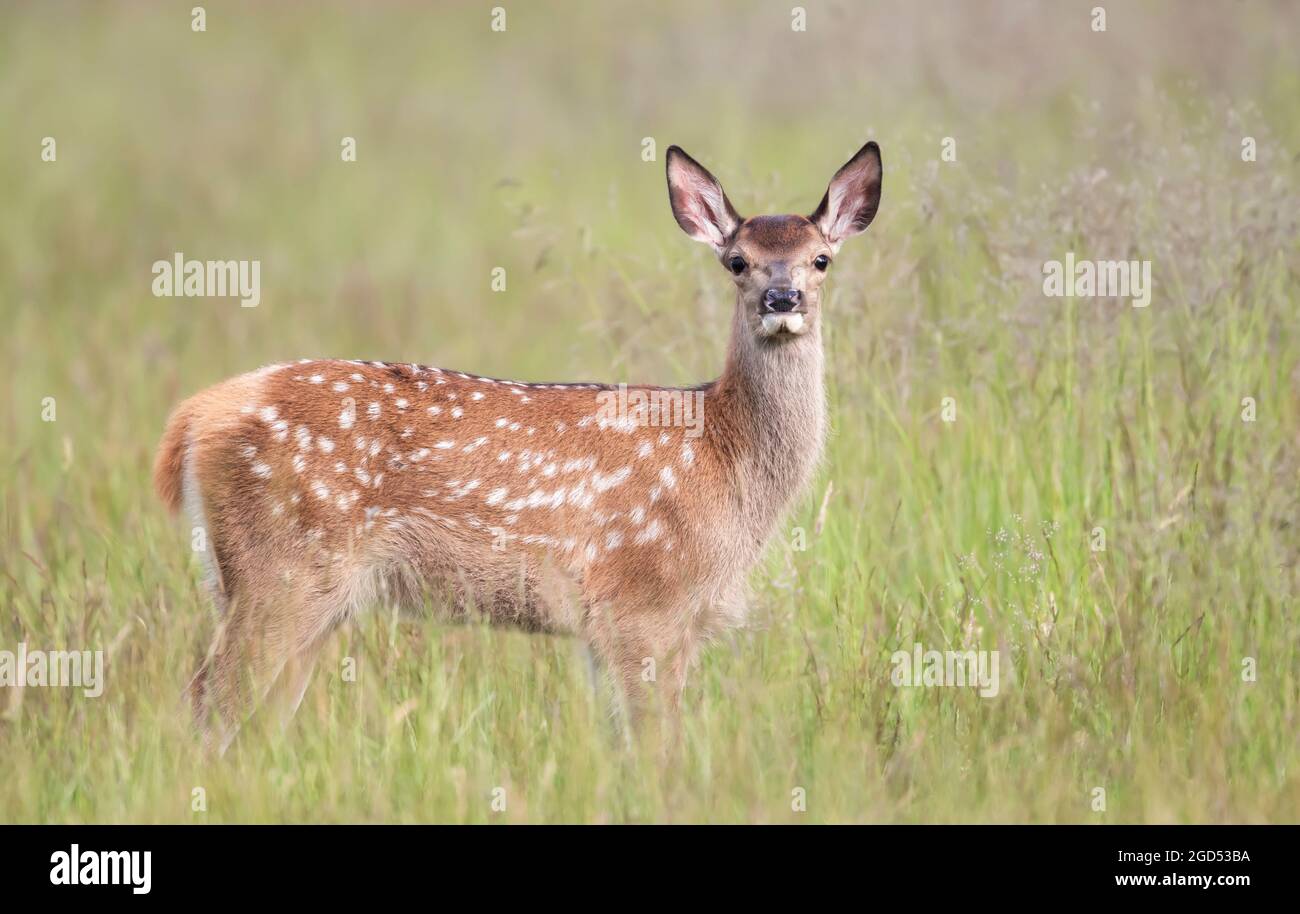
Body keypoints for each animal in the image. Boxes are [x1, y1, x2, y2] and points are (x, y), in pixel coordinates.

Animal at [154, 137, 883, 748]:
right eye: (737, 262)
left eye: (821, 259)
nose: (782, 298)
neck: (725, 461)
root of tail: (196, 416)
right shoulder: (643, 596)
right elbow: (656, 744)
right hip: (281, 566)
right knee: (209, 699)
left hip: (285, 588)